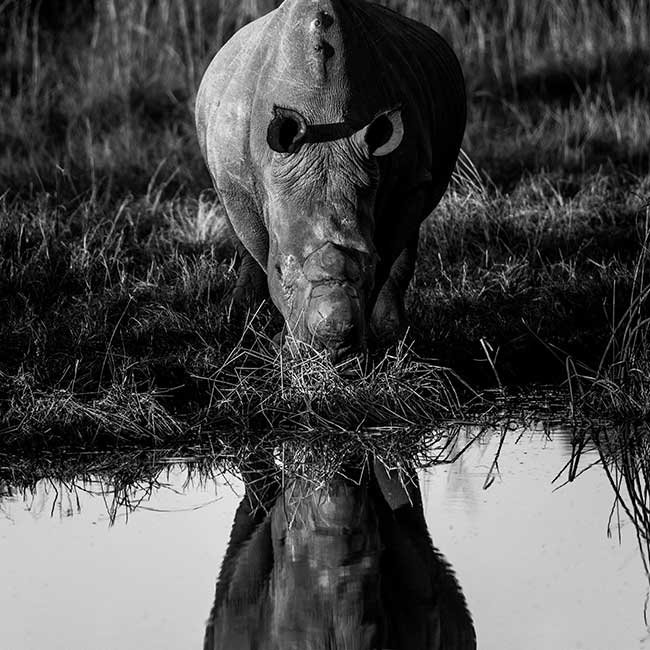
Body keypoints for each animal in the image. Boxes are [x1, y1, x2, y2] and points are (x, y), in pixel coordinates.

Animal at [195, 0, 464, 356]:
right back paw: (235, 311)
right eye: (280, 269)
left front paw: (378, 342)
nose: (333, 345)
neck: (324, 116)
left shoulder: (408, 182)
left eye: (370, 262)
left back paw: (397, 332)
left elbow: (389, 258)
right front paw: (284, 344)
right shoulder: (237, 183)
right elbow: (259, 248)